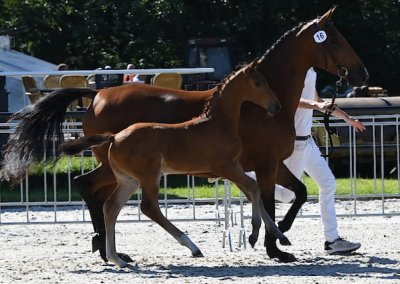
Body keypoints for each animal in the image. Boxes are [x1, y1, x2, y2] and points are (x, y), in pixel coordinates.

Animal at [61, 61, 288, 268]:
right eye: (258, 83)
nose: (276, 106)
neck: (218, 122)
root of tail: (114, 137)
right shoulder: (224, 167)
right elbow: (254, 188)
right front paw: (254, 234)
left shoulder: (234, 167)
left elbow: (252, 193)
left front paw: (279, 235)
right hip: (149, 176)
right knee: (148, 207)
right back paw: (191, 246)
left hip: (129, 180)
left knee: (111, 207)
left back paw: (117, 258)